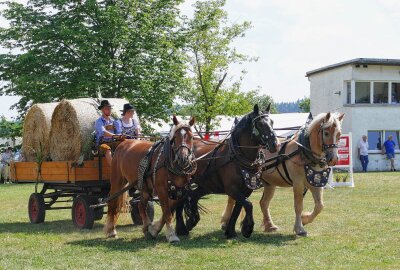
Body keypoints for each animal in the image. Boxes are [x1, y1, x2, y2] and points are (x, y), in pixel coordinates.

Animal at [104, 115, 196, 243]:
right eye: (175, 138)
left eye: (191, 137)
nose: (183, 158)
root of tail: (123, 142)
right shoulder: (161, 189)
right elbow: (167, 212)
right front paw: (171, 235)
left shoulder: (179, 190)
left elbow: (168, 211)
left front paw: (153, 230)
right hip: (117, 181)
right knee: (112, 203)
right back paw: (111, 231)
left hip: (144, 188)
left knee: (141, 206)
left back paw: (146, 227)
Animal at [175, 104, 278, 238]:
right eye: (260, 124)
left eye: (272, 122)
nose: (275, 144)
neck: (237, 156)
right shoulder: (232, 189)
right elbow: (248, 204)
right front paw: (248, 228)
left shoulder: (245, 190)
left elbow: (238, 208)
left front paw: (231, 231)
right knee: (179, 202)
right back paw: (181, 229)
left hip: (205, 185)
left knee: (192, 197)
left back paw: (192, 221)